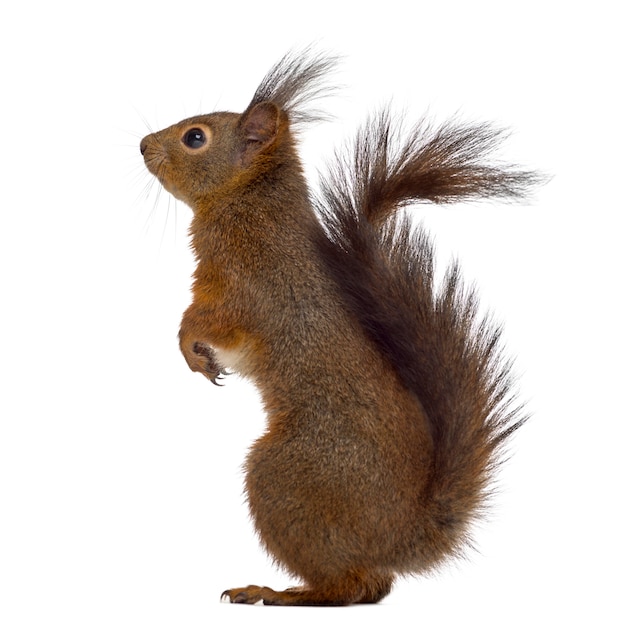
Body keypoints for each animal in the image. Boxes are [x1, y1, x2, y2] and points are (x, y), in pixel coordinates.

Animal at [140, 50, 540, 604]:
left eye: (195, 137)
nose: (141, 145)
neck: (251, 204)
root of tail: (402, 535)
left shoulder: (243, 287)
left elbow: (204, 319)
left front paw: (187, 347)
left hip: (285, 478)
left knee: (353, 586)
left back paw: (280, 592)